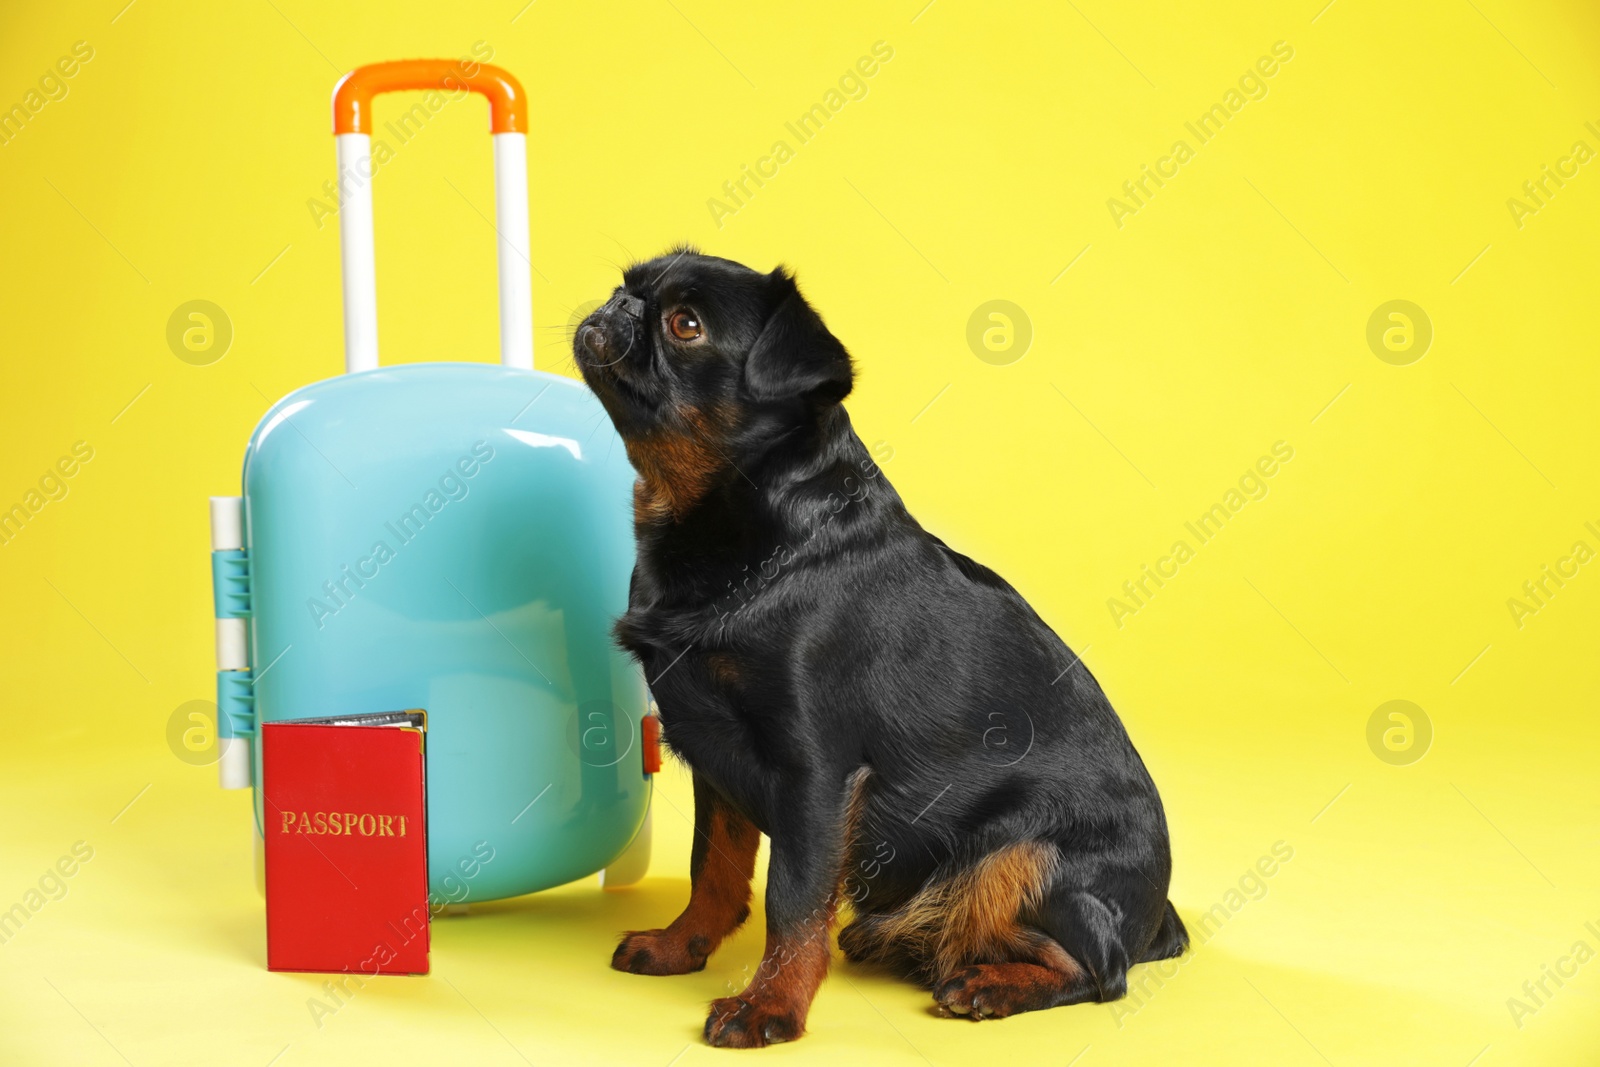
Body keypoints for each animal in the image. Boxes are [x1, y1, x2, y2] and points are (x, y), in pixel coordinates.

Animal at [569, 252, 1184, 1049]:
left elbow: (793, 903)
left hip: (1024, 855)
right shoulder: (716, 755)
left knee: (1100, 971)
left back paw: (988, 985)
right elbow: (716, 869)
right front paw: (683, 944)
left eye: (685, 325)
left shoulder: (815, 777)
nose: (618, 306)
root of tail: (1158, 918)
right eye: (629, 285)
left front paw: (770, 1006)